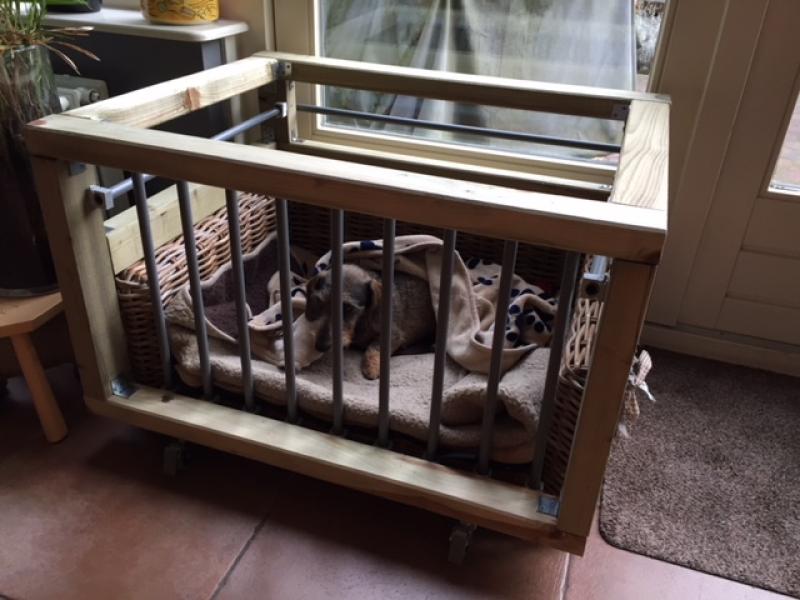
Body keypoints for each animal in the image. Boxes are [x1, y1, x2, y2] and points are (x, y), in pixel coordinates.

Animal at [304, 263, 436, 380]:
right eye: (320, 302)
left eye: (348, 308)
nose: (320, 346)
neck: (361, 322)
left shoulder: (394, 335)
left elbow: (374, 347)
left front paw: (371, 367)